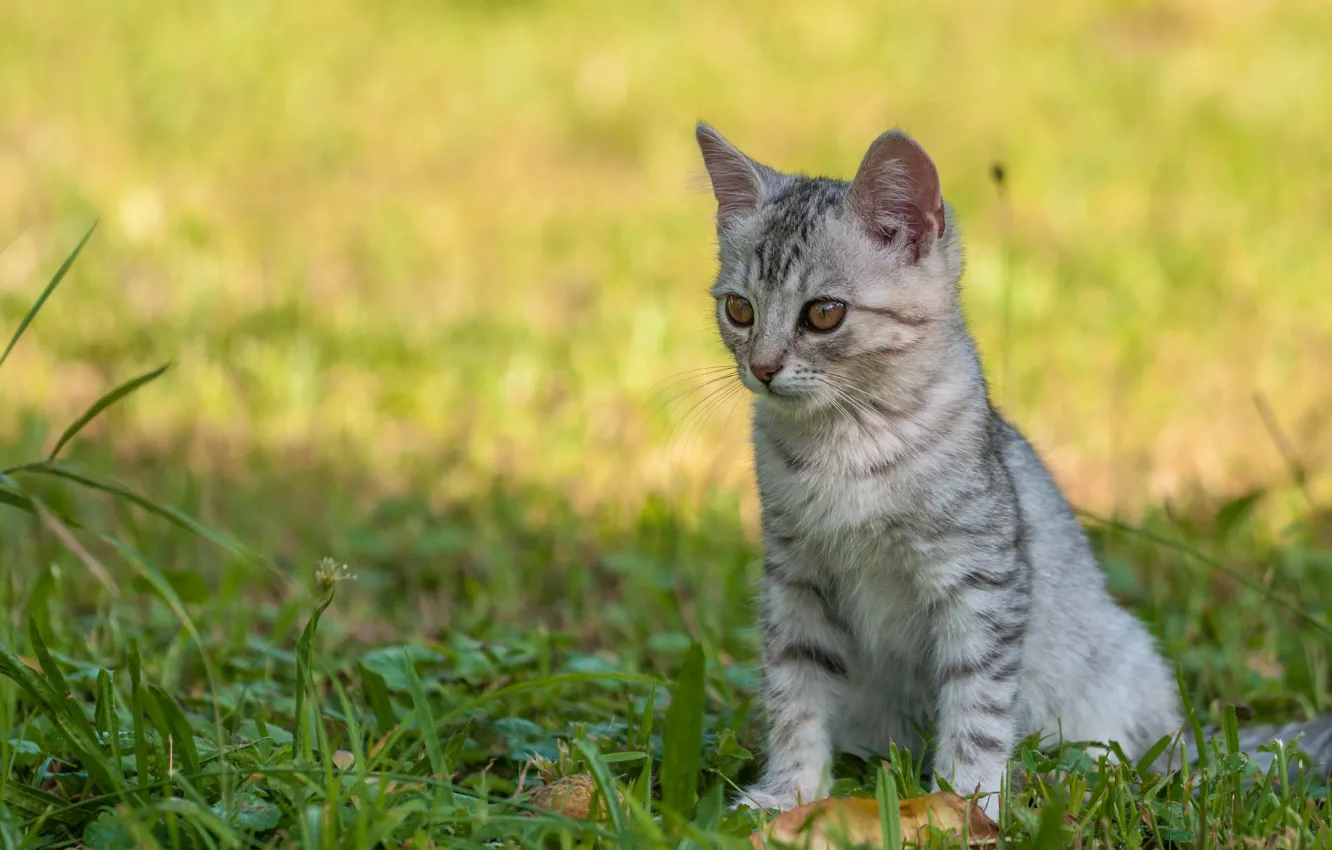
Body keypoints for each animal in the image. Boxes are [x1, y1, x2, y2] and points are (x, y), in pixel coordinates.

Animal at [692, 121, 1332, 820]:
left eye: (824, 313)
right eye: (740, 310)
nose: (762, 368)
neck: (847, 449)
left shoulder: (981, 580)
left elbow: (977, 704)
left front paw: (965, 804)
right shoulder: (795, 582)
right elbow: (795, 696)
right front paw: (790, 795)